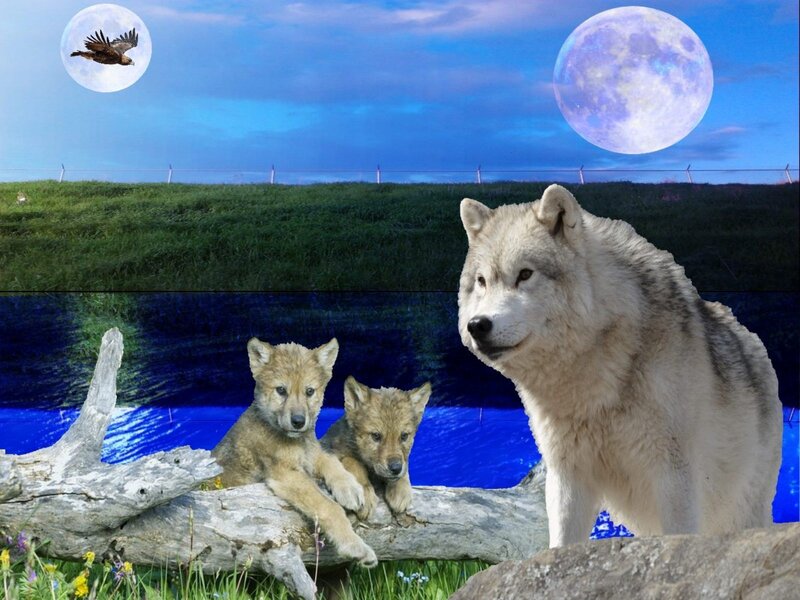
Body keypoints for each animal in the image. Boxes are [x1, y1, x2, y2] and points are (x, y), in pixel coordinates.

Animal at [211, 338, 377, 567]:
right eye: (281, 390)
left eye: (309, 391)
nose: (298, 422)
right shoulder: (286, 475)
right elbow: (329, 507)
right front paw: (355, 546)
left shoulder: (312, 453)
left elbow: (331, 461)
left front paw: (350, 488)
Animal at [321, 377, 431, 520]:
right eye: (376, 436)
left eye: (404, 436)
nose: (395, 468)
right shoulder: (332, 450)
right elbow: (353, 462)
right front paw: (366, 494)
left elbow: (405, 466)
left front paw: (401, 489)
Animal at [458, 184, 783, 547]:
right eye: (482, 281)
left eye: (525, 274)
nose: (477, 325)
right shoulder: (568, 475)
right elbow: (561, 544)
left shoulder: (673, 473)